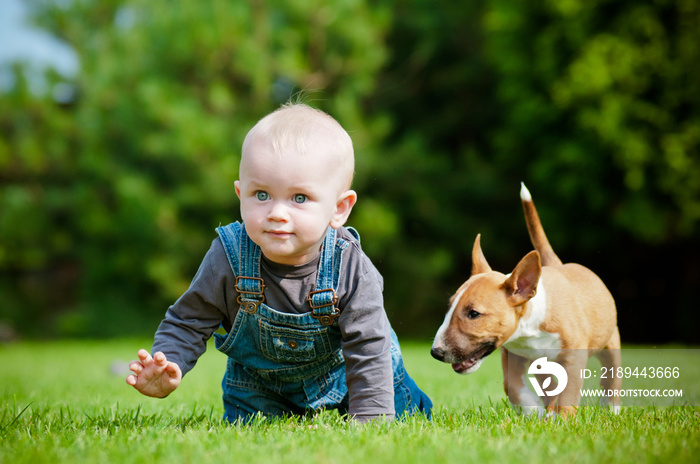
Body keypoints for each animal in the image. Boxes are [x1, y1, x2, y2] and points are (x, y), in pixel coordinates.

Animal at [430, 182, 620, 416]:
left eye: (473, 313)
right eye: (449, 308)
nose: (436, 353)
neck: (530, 327)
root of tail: (559, 264)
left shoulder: (574, 357)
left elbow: (569, 393)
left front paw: (563, 419)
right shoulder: (512, 355)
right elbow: (511, 386)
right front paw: (533, 411)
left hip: (610, 341)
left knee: (611, 375)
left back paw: (610, 408)